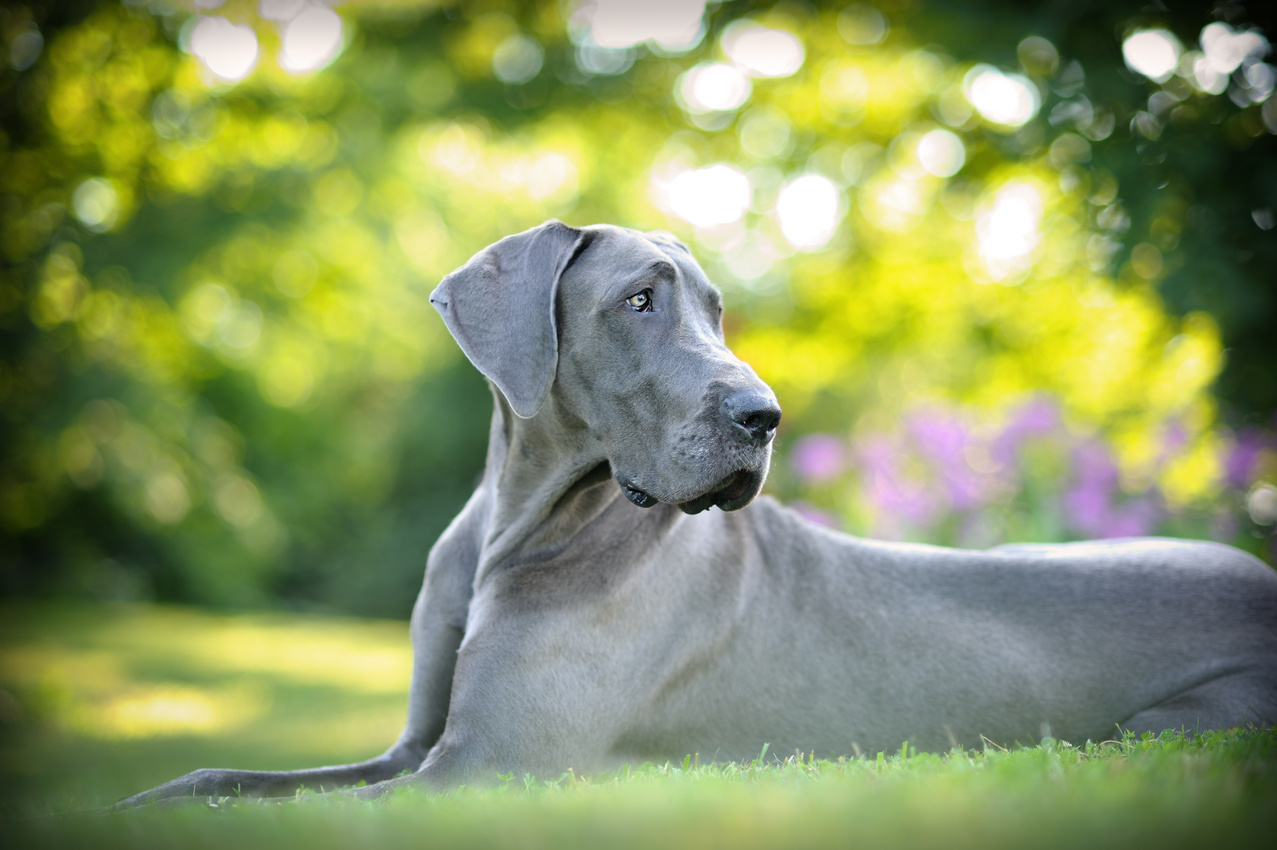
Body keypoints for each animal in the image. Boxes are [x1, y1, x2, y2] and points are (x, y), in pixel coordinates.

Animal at [120, 218, 1277, 801]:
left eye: (717, 309)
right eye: (638, 299)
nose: (764, 415)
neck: (520, 526)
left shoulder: (482, 771)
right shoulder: (416, 750)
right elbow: (220, 780)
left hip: (1154, 725)